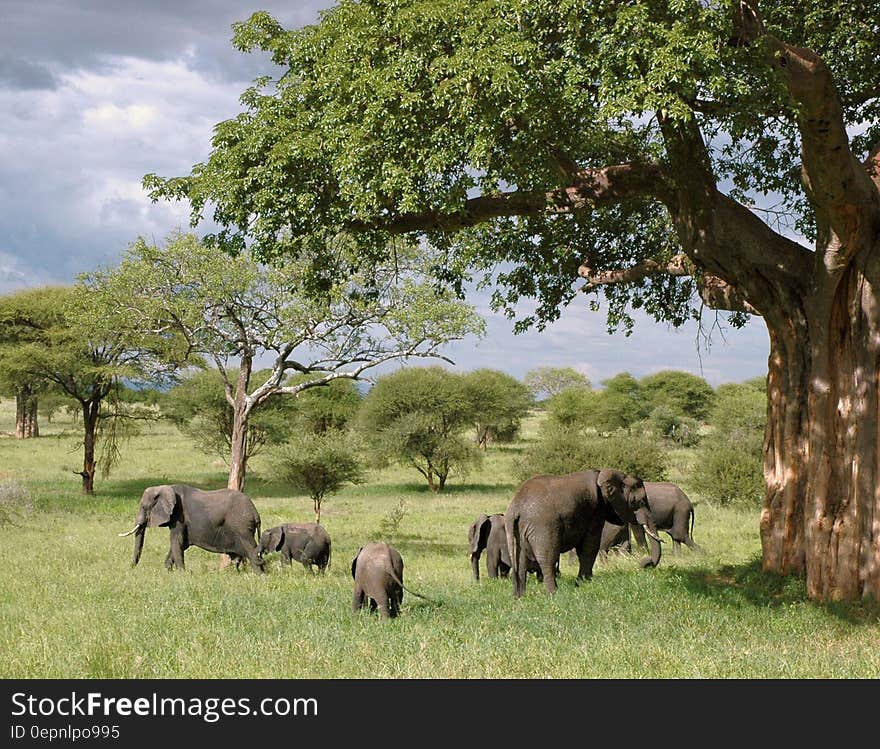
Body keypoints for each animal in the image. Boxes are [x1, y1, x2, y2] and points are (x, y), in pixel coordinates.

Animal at [119, 486, 264, 572]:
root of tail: (255, 513)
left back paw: (259, 575)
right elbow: (180, 544)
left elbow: (176, 541)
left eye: (144, 507)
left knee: (251, 549)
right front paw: (167, 571)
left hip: (242, 527)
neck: (165, 487)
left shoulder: (179, 517)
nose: (130, 569)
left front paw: (181, 573)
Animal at [502, 468, 660, 596]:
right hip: (543, 527)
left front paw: (582, 582)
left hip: (518, 530)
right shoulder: (595, 510)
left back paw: (520, 597)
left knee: (521, 562)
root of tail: (515, 508)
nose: (646, 563)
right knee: (547, 559)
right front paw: (584, 583)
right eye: (639, 502)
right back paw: (554, 594)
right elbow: (590, 545)